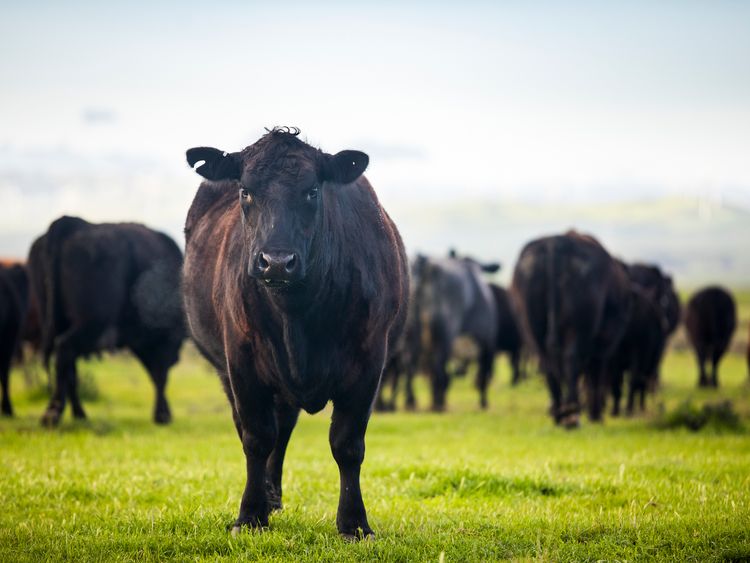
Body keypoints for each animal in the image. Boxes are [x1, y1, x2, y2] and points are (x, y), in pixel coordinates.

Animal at [29, 217, 185, 426]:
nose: (177, 359)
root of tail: (71, 223)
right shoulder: (163, 342)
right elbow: (160, 375)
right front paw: (162, 414)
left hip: (59, 321)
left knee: (68, 366)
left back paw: (79, 413)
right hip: (91, 325)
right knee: (64, 351)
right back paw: (53, 413)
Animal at [182, 127, 408, 539]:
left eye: (312, 191)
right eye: (245, 191)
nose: (276, 262)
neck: (297, 317)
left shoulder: (369, 361)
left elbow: (347, 444)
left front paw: (354, 523)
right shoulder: (241, 361)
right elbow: (256, 438)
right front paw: (250, 515)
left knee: (284, 427)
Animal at [411, 253, 500, 411]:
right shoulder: (488, 343)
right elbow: (483, 376)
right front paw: (483, 403)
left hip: (413, 339)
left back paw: (419, 402)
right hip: (444, 338)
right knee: (440, 370)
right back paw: (439, 404)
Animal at [511, 231, 631, 428]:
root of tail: (556, 242)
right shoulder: (605, 343)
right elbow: (595, 374)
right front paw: (595, 414)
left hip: (533, 329)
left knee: (548, 364)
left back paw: (559, 413)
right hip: (579, 330)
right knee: (571, 360)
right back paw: (572, 415)